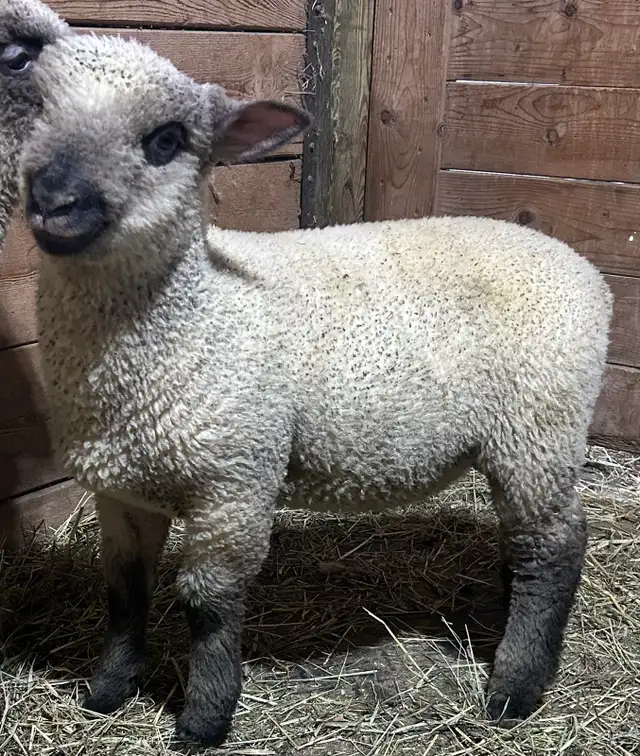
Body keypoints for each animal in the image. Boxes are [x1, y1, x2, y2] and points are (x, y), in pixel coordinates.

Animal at [19, 33, 613, 746]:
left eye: (166, 140)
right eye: (36, 108)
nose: (53, 200)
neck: (196, 309)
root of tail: (585, 271)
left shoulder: (235, 481)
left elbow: (208, 603)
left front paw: (204, 718)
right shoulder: (123, 488)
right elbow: (124, 593)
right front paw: (108, 690)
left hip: (539, 425)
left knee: (553, 549)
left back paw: (515, 688)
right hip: (521, 439)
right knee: (524, 544)